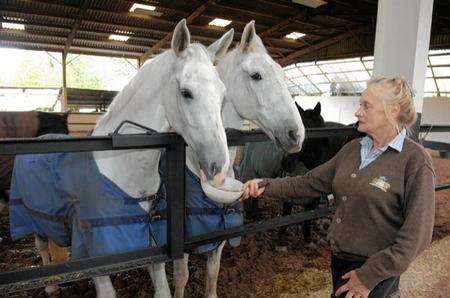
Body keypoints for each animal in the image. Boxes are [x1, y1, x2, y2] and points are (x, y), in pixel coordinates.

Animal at [9, 19, 232, 296]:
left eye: (222, 95)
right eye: (186, 92)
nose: (218, 168)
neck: (123, 168)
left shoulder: (154, 248)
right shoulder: (99, 259)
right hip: (33, 218)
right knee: (42, 247)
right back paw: (50, 286)